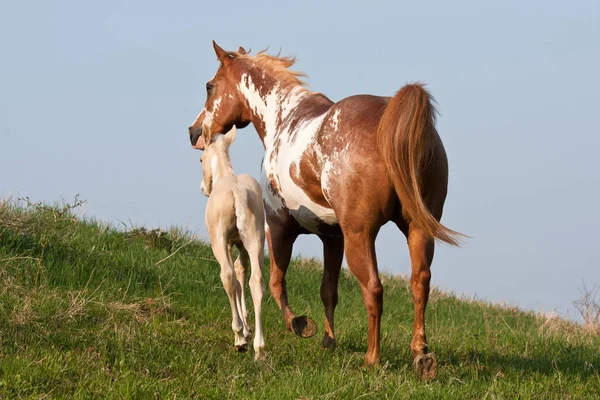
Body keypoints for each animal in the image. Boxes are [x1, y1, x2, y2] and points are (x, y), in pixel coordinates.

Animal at [200, 126, 266, 360]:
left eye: (201, 158)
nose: (203, 188)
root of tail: (237, 192)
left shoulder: (227, 243)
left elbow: (234, 279)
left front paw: (242, 332)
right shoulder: (241, 245)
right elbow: (241, 272)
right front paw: (248, 329)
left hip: (219, 241)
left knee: (227, 276)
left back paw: (239, 339)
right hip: (256, 239)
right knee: (256, 281)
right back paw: (259, 348)